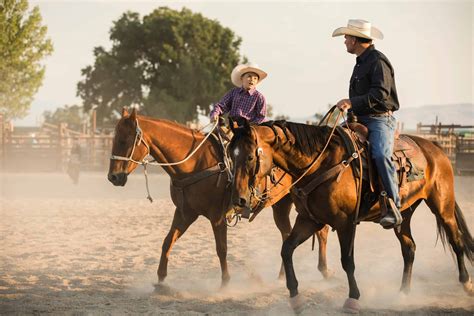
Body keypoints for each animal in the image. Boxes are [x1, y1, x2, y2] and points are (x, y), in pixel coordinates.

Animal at [107, 108, 332, 286]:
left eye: (124, 140)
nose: (113, 177)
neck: (196, 163)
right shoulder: (185, 213)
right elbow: (167, 241)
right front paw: (161, 280)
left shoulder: (216, 216)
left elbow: (221, 248)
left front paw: (225, 283)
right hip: (281, 206)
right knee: (287, 236)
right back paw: (282, 276)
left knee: (321, 231)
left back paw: (324, 270)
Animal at [228, 118, 472, 312]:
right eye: (231, 155)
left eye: (250, 157)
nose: (239, 199)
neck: (319, 163)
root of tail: (435, 148)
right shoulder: (309, 220)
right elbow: (286, 249)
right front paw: (295, 298)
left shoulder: (345, 223)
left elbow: (347, 261)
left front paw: (353, 299)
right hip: (405, 214)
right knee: (409, 248)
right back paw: (403, 293)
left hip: (442, 206)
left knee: (456, 241)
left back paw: (466, 283)